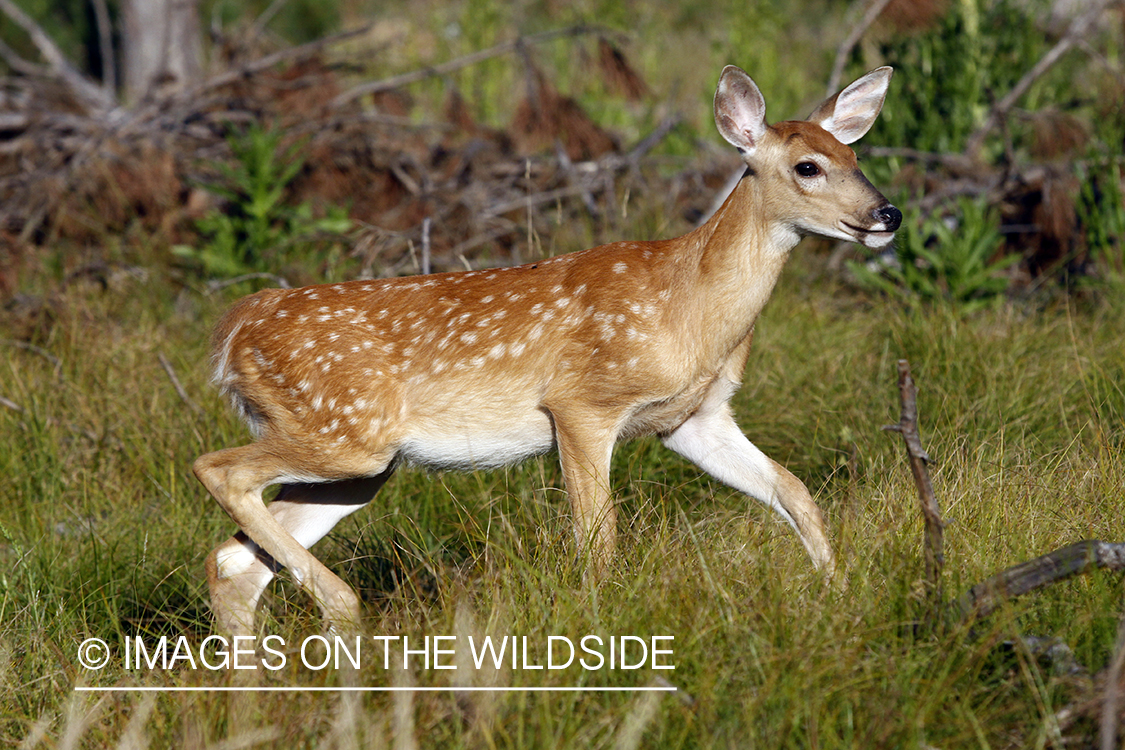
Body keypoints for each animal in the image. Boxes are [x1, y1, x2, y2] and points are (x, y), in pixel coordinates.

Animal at [194, 65, 902, 636]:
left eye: (855, 156)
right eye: (807, 167)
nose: (887, 214)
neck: (688, 307)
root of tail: (232, 331)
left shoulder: (693, 420)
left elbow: (796, 492)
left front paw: (838, 596)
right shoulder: (584, 402)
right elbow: (599, 542)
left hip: (356, 462)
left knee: (231, 562)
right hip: (343, 433)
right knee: (217, 471)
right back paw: (342, 605)